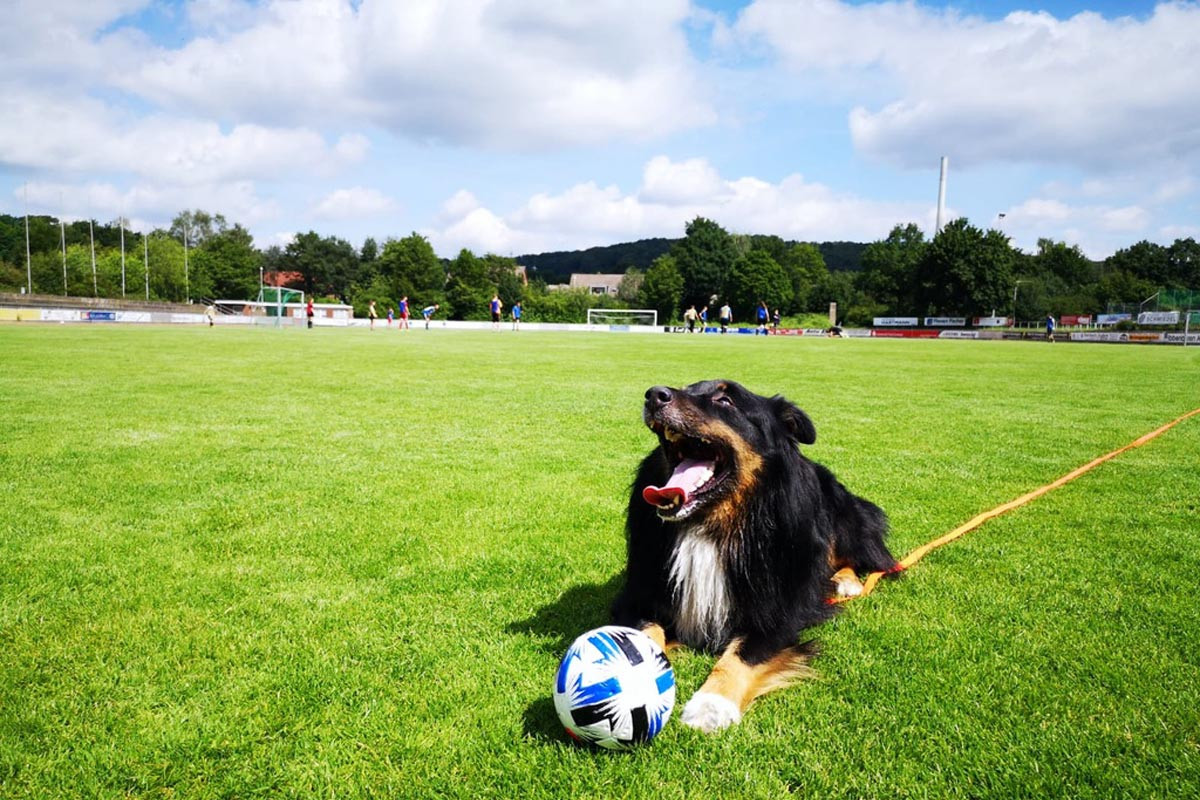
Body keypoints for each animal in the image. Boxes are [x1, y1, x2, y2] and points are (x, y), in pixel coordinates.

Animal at [609, 381, 902, 734]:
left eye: (725, 399)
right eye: (687, 387)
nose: (654, 394)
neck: (711, 524)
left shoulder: (779, 613)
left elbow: (740, 656)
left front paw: (711, 705)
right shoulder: (636, 597)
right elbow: (644, 634)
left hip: (843, 518)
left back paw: (846, 582)